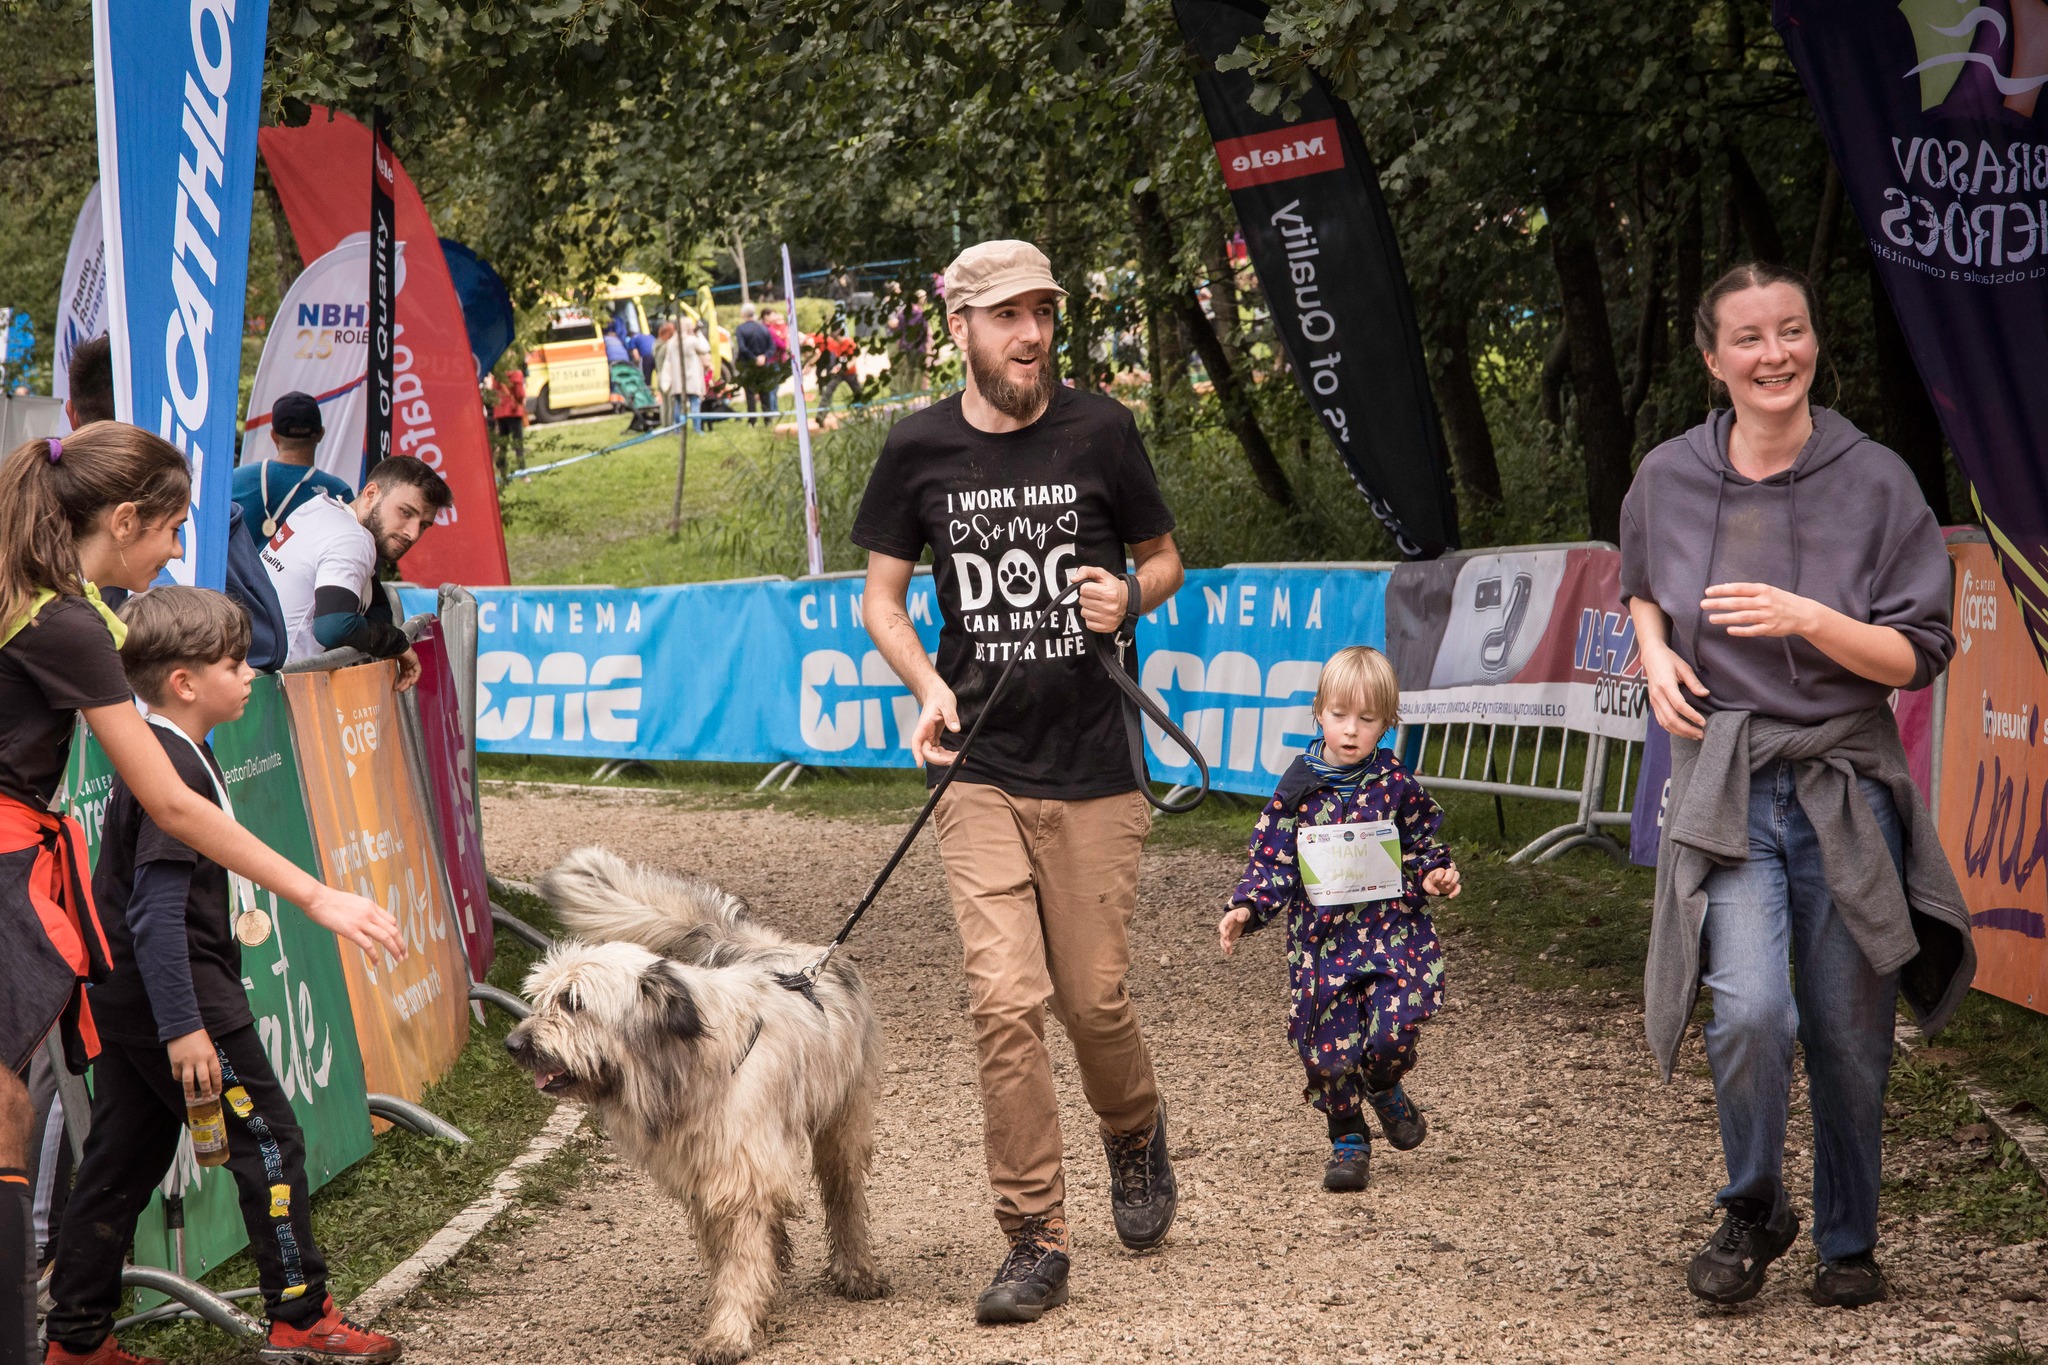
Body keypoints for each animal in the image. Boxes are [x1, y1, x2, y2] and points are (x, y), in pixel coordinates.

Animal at [505, 847, 887, 1364]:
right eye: (544, 998)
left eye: (574, 1002)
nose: (513, 1044)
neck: (683, 1066)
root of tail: (779, 950)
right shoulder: (705, 1174)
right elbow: (730, 1252)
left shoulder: (740, 1171)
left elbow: (741, 1257)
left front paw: (729, 1331)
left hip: (843, 1118)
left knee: (844, 1193)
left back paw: (855, 1270)